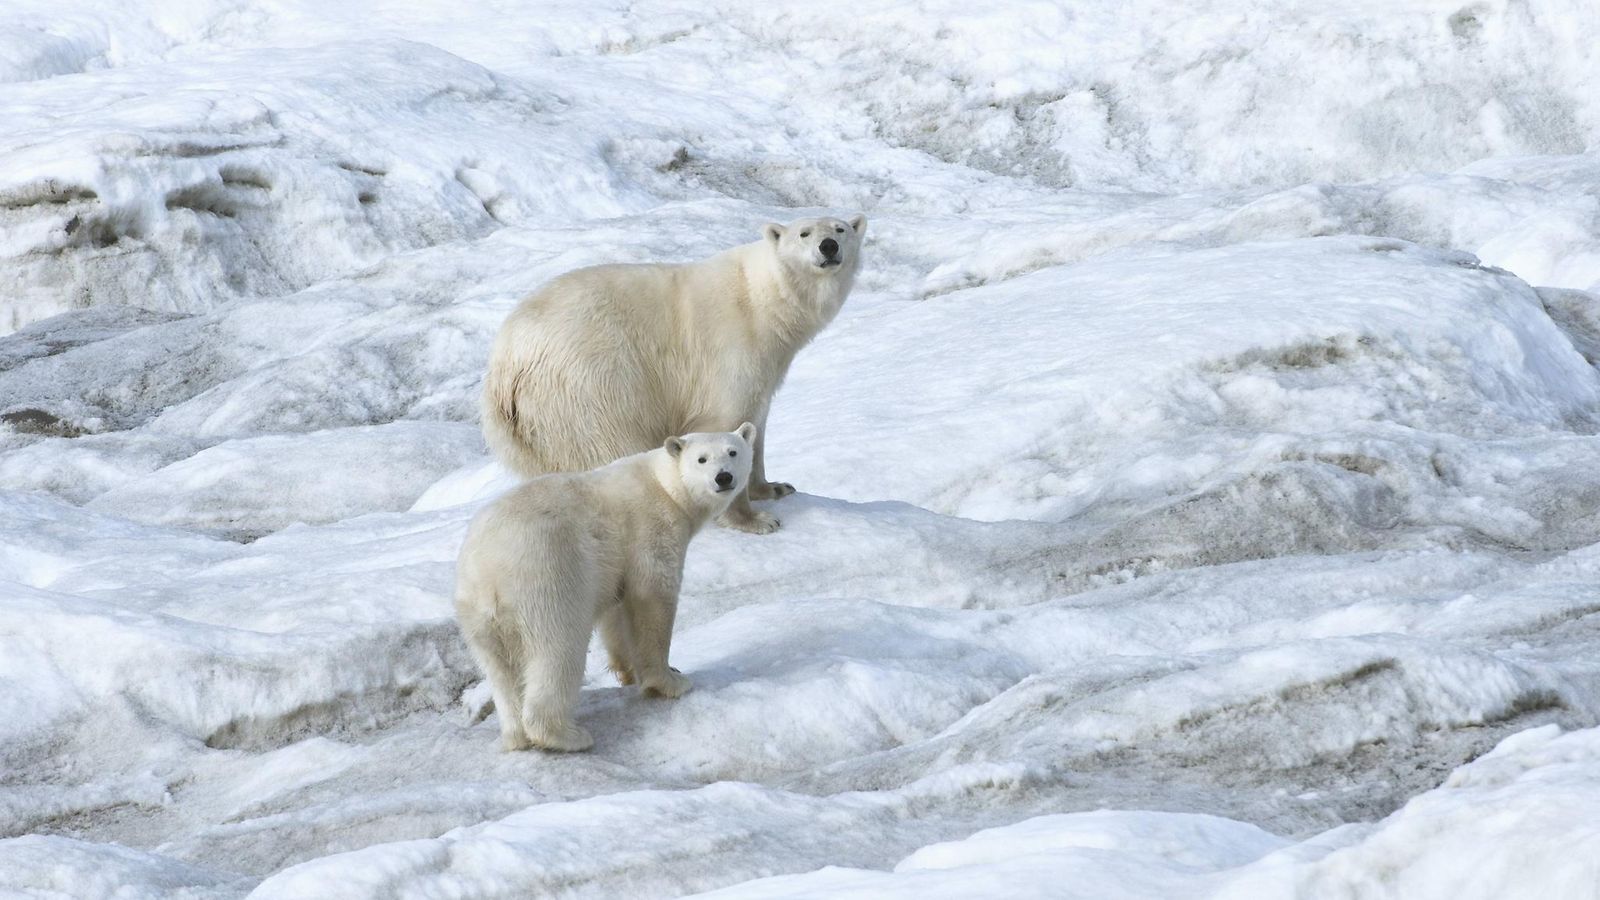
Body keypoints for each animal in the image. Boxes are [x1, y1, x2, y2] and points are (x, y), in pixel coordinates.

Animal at [483, 212, 870, 528]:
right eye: (804, 233)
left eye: (841, 228)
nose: (829, 245)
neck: (763, 300)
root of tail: (506, 363)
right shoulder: (731, 348)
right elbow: (726, 420)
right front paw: (754, 519)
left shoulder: (769, 363)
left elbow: (756, 423)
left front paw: (774, 487)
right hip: (592, 387)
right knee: (612, 446)